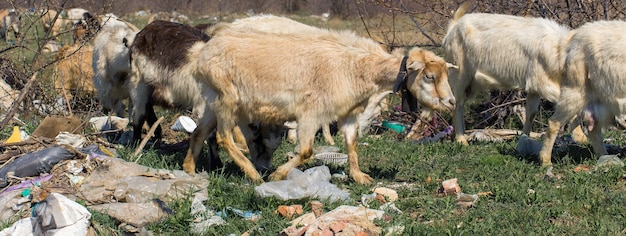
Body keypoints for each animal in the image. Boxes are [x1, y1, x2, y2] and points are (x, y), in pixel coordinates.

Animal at [191, 22, 454, 184]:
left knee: (199, 131)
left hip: (213, 98)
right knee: (223, 137)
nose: (451, 102)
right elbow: (306, 151)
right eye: (429, 76)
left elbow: (352, 144)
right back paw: (253, 174)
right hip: (227, 98)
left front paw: (359, 176)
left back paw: (189, 169)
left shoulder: (348, 113)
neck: (358, 67)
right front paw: (277, 175)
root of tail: (202, 52)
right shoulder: (311, 113)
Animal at [438, 2, 572, 145]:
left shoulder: (534, 87)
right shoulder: (544, 83)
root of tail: (453, 27)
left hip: (471, 83)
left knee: (461, 103)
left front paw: (524, 138)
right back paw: (461, 140)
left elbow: (531, 113)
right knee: (457, 103)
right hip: (459, 74)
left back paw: (463, 136)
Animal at [540, 20, 626, 166]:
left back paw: (605, 156)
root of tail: (574, 37)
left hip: (600, 100)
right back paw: (545, 161)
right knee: (554, 123)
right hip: (576, 89)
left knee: (594, 129)